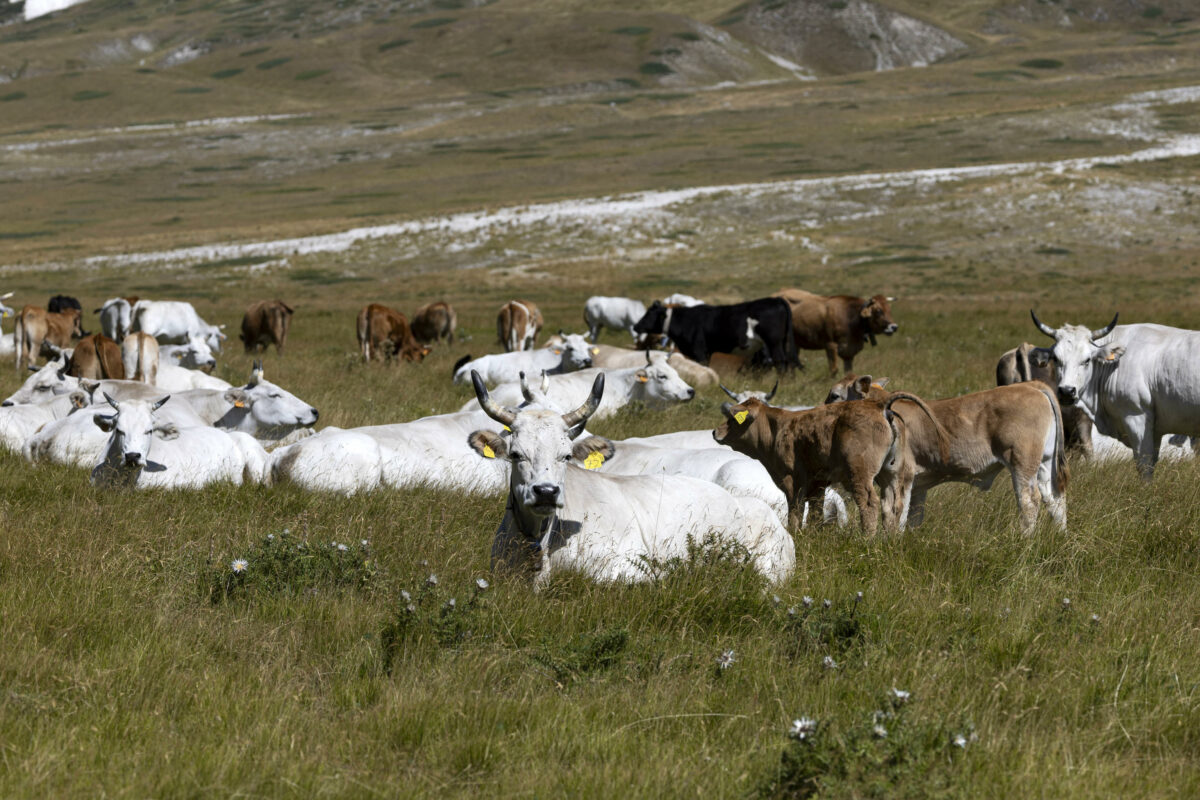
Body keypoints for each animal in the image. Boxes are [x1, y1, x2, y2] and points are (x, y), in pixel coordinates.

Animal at [633, 297, 801, 369]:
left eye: (649, 314)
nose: (636, 326)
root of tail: (776, 299)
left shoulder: (700, 350)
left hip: (774, 341)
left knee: (781, 360)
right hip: (782, 341)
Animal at [705, 381, 940, 534]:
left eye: (733, 419)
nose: (715, 432)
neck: (778, 429)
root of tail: (879, 406)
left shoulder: (792, 481)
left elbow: (795, 511)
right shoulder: (817, 483)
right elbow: (816, 512)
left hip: (860, 473)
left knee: (869, 503)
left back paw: (868, 539)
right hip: (891, 472)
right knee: (893, 505)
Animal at [825, 374, 1070, 534]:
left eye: (835, 395)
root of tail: (1032, 386)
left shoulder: (901, 475)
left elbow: (897, 514)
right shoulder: (914, 484)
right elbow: (911, 516)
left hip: (1022, 463)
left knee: (1029, 502)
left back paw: (1025, 539)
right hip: (1045, 464)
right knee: (1055, 500)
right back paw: (1060, 537)